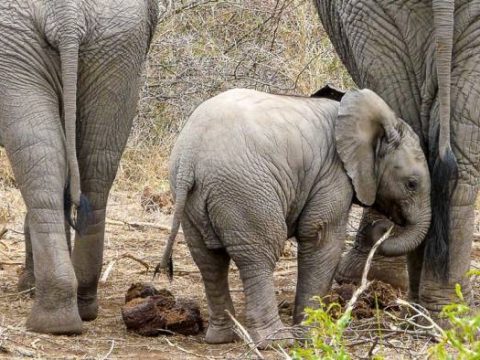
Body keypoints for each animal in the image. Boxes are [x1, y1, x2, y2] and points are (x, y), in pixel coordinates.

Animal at [0, 0, 160, 334]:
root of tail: (67, 14)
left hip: (12, 46)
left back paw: (50, 319)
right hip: (119, 42)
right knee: (92, 162)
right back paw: (78, 309)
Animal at [158, 86, 432, 346]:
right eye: (411, 184)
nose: (382, 227)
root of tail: (189, 157)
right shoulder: (332, 175)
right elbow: (321, 238)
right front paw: (312, 336)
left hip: (193, 198)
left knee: (209, 260)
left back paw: (224, 338)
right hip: (245, 191)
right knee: (260, 255)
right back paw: (275, 341)